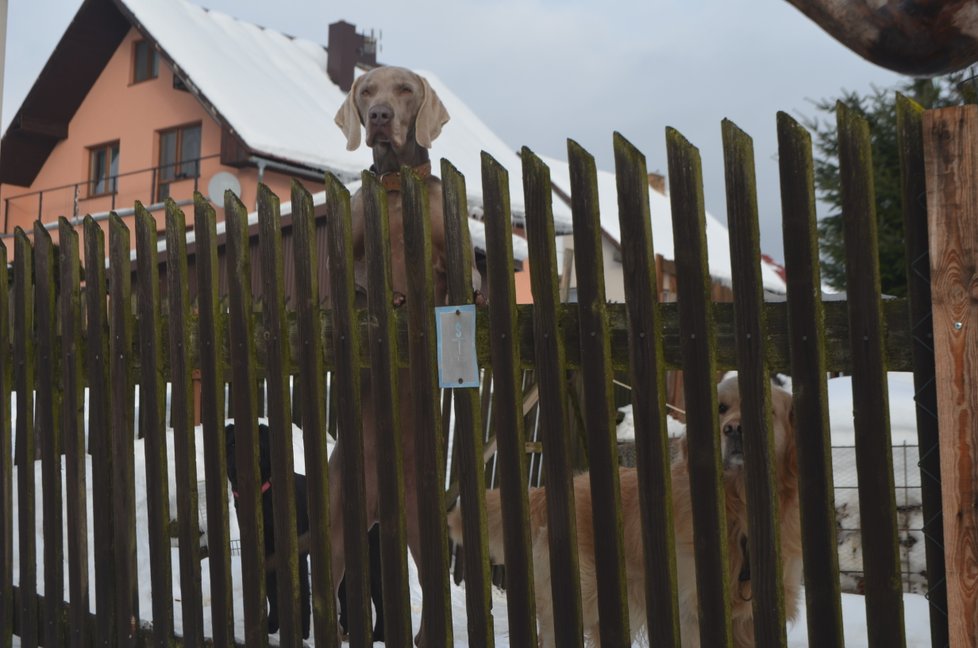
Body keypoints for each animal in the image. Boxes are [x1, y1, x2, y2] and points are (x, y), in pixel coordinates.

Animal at [224, 422, 308, 640]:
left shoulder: (297, 553)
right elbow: (271, 592)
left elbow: (302, 591)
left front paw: (303, 630)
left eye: (258, 443)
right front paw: (272, 623)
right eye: (232, 443)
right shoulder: (266, 555)